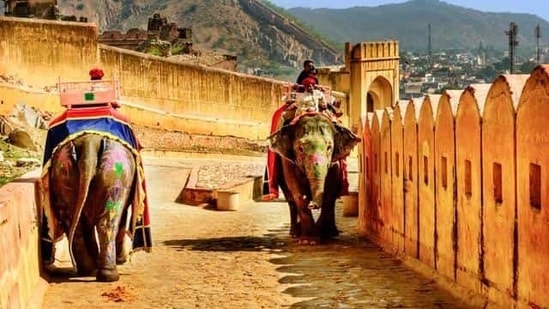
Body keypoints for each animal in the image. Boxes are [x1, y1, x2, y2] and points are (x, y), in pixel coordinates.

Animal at [268, 112, 360, 244]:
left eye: (329, 147)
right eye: (300, 148)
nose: (312, 204)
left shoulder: (335, 162)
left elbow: (330, 191)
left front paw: (323, 235)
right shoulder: (287, 161)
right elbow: (297, 190)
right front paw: (309, 241)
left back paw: (332, 233)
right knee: (290, 199)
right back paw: (295, 233)